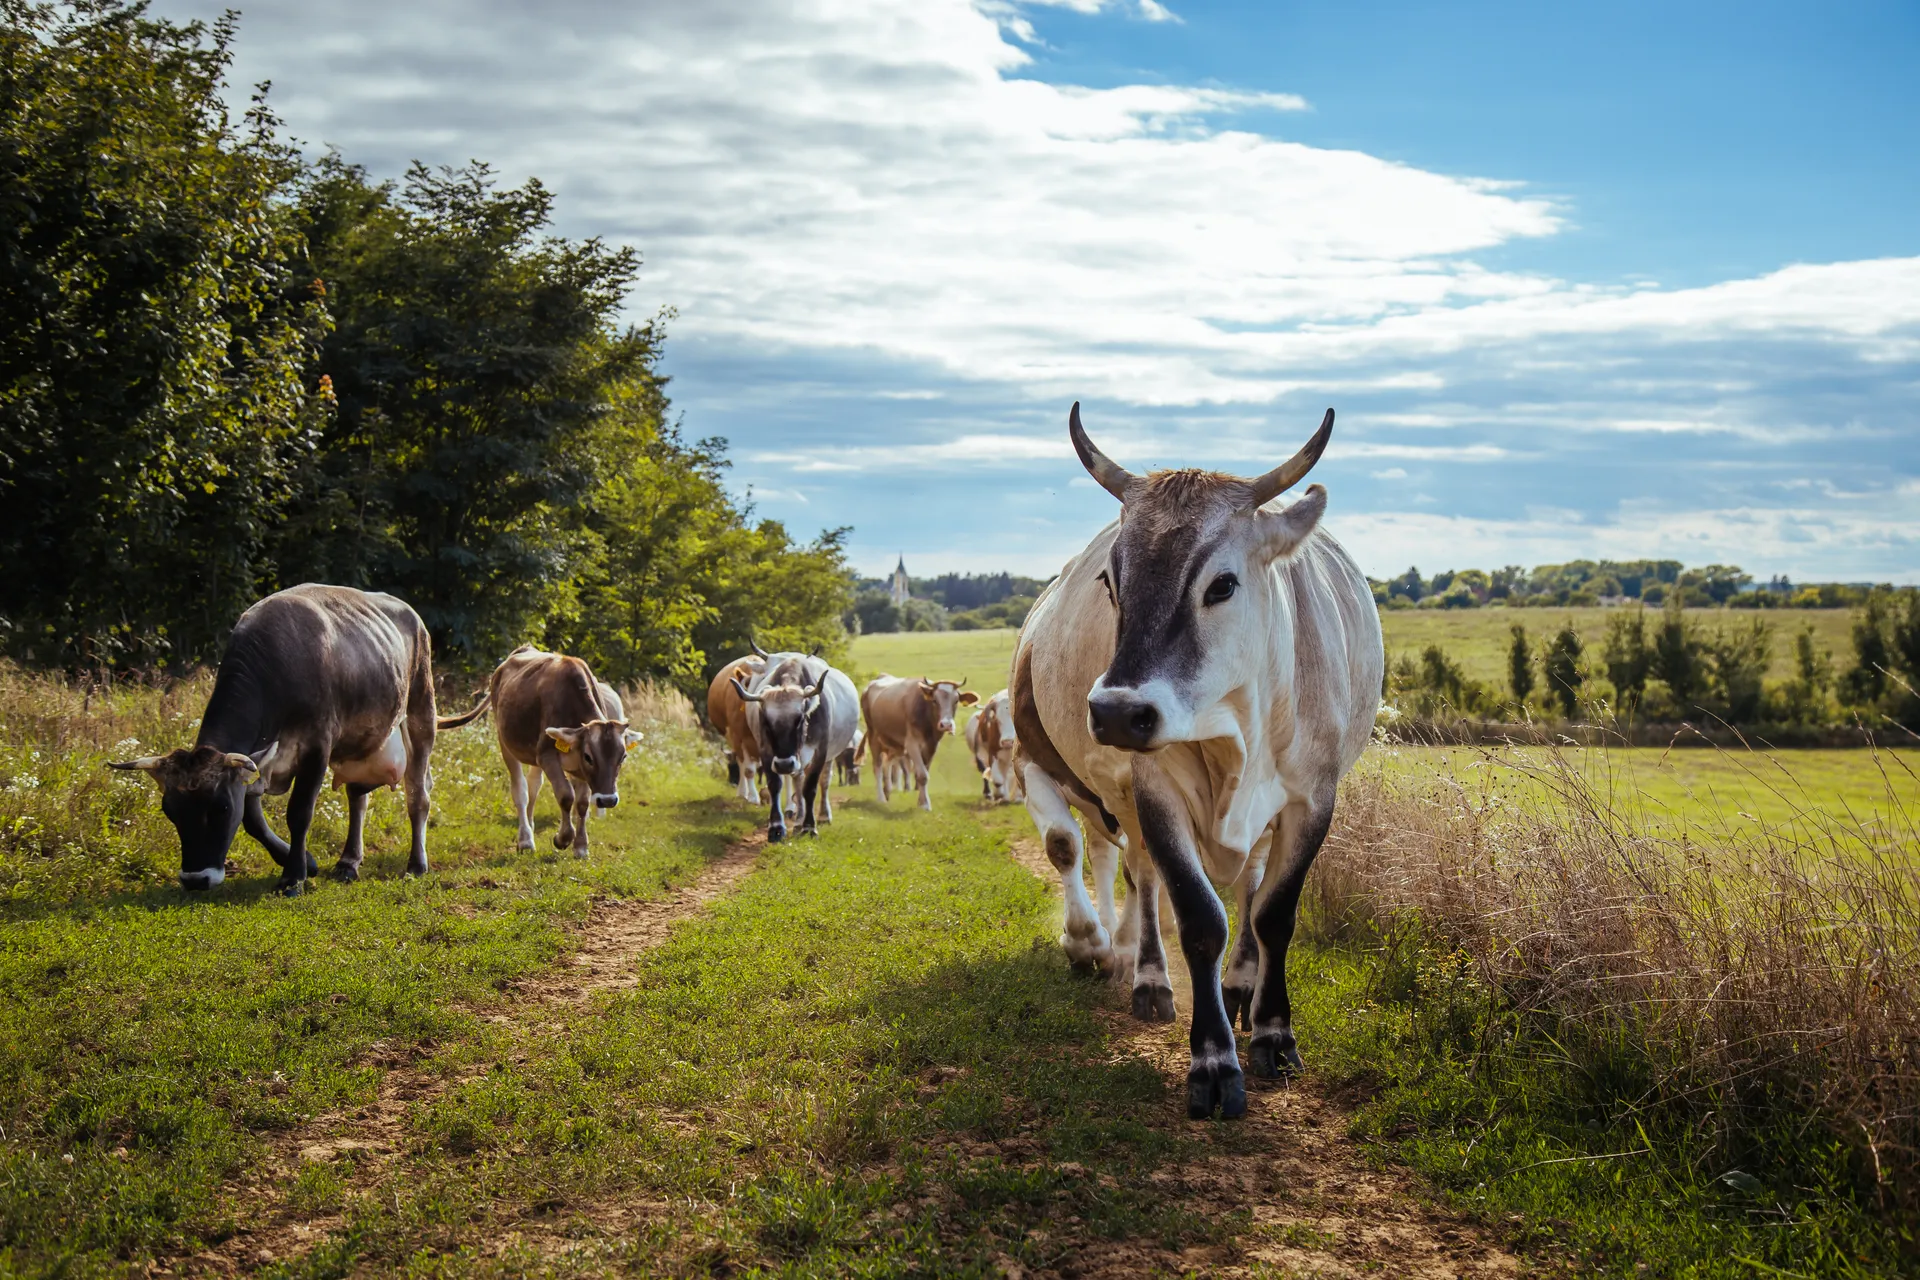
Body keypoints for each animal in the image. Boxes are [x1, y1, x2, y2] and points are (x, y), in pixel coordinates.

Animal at [108, 584, 484, 895]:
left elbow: (299, 812)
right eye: (169, 810)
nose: (195, 880)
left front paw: (293, 876)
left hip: (421, 711)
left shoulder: (317, 745)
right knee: (357, 798)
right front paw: (305, 861)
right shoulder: (259, 761)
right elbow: (252, 819)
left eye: (221, 808)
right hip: (360, 743)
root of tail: (411, 613)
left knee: (418, 795)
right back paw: (348, 862)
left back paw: (416, 864)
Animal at [458, 645, 639, 858]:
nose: (608, 800)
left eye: (623, 756)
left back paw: (530, 826)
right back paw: (526, 839)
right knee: (521, 791)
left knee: (533, 786)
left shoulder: (578, 768)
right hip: (506, 743)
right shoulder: (547, 755)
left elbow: (582, 803)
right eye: (588, 757)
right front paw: (563, 838)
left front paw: (581, 846)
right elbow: (566, 795)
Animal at [734, 653, 858, 841]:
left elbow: (810, 788)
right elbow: (775, 785)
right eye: (767, 722)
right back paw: (798, 820)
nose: (784, 764)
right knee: (798, 780)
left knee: (824, 781)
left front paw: (810, 827)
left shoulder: (820, 752)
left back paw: (823, 816)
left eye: (799, 719)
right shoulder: (766, 751)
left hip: (827, 757)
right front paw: (777, 828)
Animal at [861, 675, 978, 809]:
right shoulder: (912, 745)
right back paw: (881, 798)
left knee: (888, 762)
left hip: (894, 744)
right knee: (878, 767)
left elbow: (923, 773)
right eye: (934, 700)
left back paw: (888, 791)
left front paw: (921, 801)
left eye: (956, 701)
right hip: (874, 736)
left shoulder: (931, 746)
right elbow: (922, 775)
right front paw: (925, 804)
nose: (946, 725)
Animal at [1014, 403, 1381, 1120]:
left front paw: (1272, 1035)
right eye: (1111, 581)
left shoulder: (1312, 800)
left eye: (1223, 584)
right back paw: (1150, 979)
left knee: (1249, 885)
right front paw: (1213, 1061)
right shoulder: (1155, 791)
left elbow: (1272, 914)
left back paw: (1238, 988)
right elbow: (1197, 916)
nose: (1117, 713)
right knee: (1141, 875)